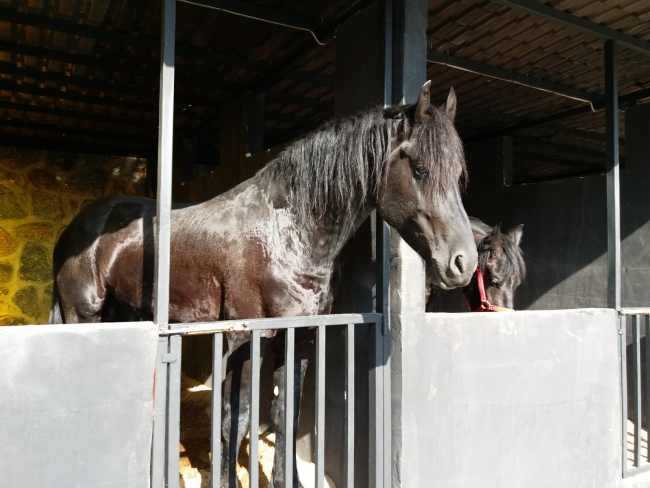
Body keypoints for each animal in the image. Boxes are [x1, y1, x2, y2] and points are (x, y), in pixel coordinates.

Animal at [52, 82, 476, 486]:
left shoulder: (301, 337)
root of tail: (76, 227)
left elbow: (286, 411)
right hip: (83, 317)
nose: (464, 262)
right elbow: (234, 421)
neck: (288, 233)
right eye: (419, 169)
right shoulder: (244, 339)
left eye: (459, 175)